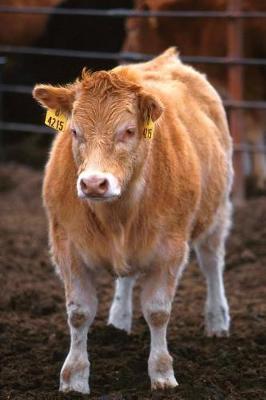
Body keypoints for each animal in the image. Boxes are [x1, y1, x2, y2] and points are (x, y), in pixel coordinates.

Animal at [32, 48, 233, 396]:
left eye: (128, 130)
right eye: (74, 131)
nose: (94, 183)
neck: (118, 215)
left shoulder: (171, 248)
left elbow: (157, 311)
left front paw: (162, 373)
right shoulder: (66, 245)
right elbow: (79, 312)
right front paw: (74, 377)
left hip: (216, 212)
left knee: (211, 263)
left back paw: (217, 321)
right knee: (125, 278)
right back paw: (119, 319)